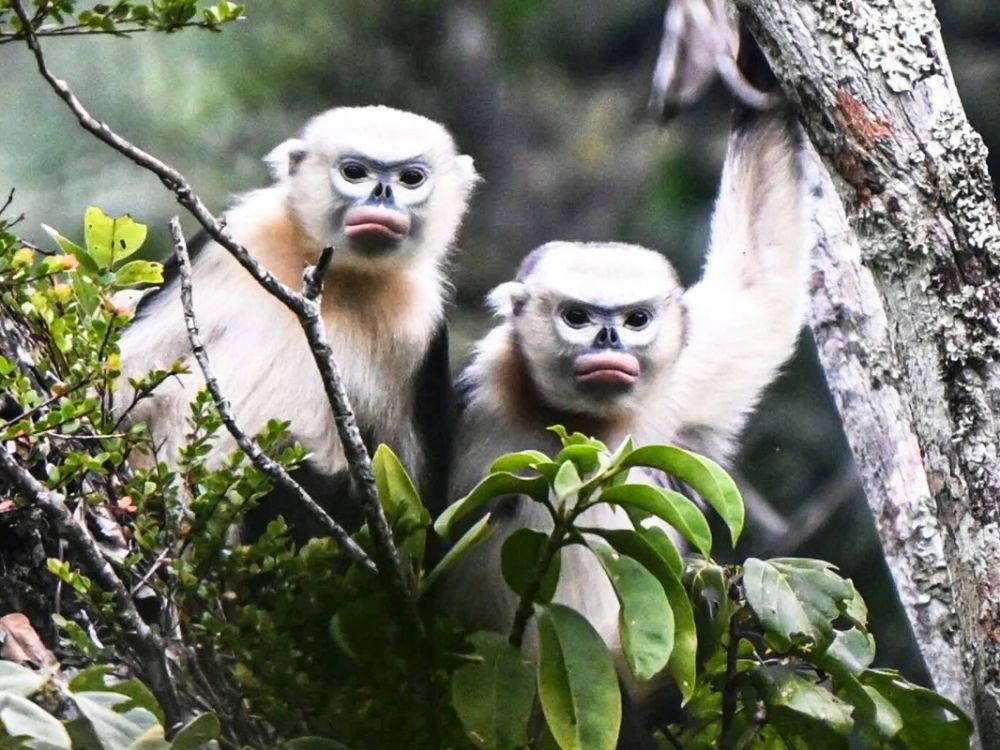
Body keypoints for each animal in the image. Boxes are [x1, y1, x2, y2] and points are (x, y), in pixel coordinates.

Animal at [118, 105, 478, 535]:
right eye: (354, 172)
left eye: (411, 179)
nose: (382, 194)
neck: (337, 276)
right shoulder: (234, 236)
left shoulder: (422, 325)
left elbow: (424, 517)